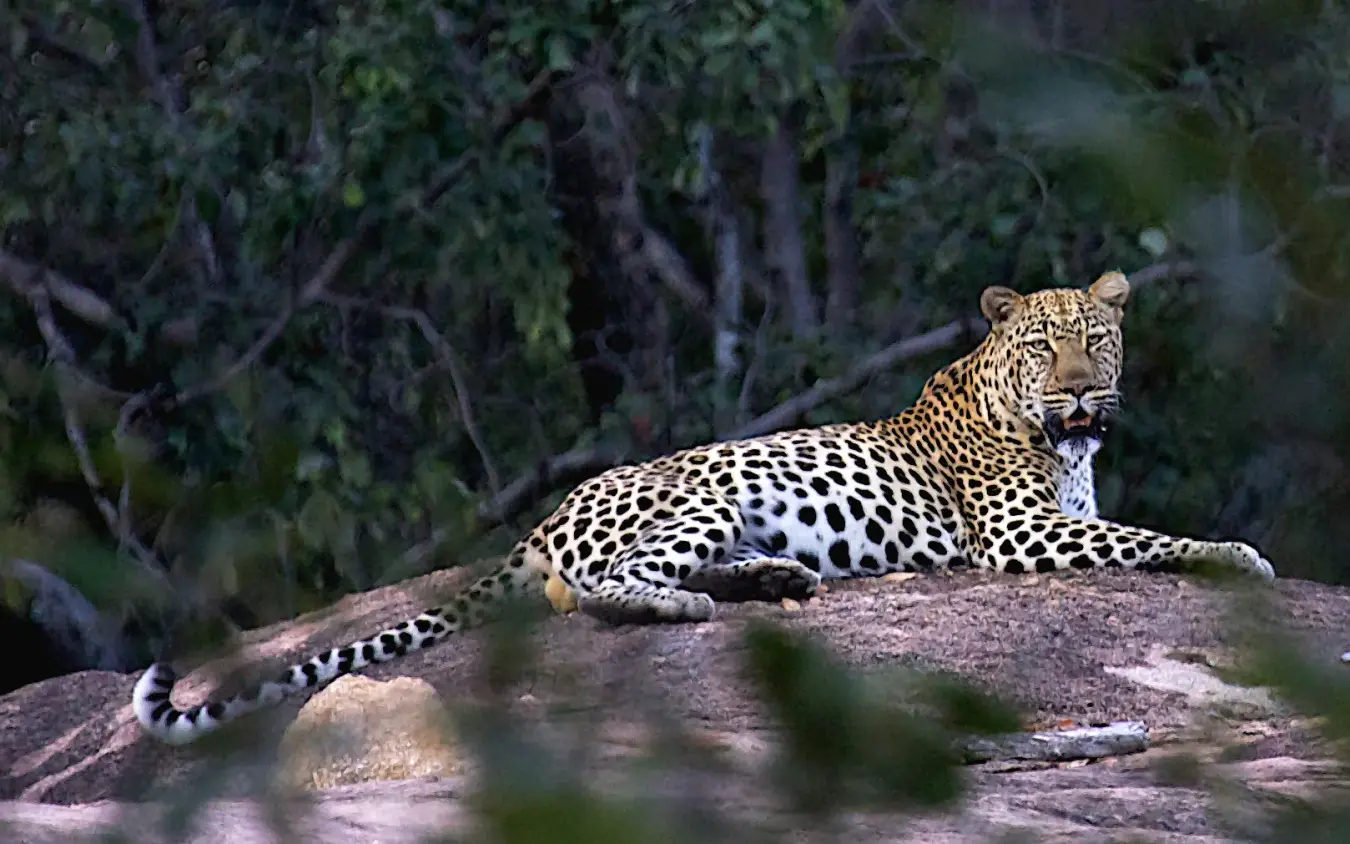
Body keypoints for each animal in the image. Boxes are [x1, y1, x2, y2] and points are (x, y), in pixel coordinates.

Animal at [132, 271, 1276, 744]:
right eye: (1045, 346)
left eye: (1100, 341)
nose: (1080, 393)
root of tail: (542, 517)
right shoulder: (1016, 533)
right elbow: (1146, 538)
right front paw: (1238, 554)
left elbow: (1133, 528)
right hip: (703, 489)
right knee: (596, 586)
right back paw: (693, 604)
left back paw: (774, 579)